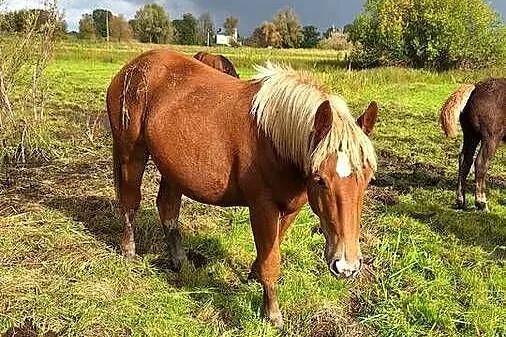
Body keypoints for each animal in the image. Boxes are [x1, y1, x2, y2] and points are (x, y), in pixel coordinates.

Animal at [107, 49, 380, 326]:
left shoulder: (291, 209)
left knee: (168, 209)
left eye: (368, 179)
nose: (346, 267)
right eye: (320, 179)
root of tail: (132, 67)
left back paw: (180, 262)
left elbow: (272, 248)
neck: (273, 137)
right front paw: (272, 314)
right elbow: (272, 261)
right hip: (131, 153)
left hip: (172, 168)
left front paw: (253, 276)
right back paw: (129, 252)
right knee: (130, 202)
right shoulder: (262, 208)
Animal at [440, 78, 504, 210]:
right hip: (490, 138)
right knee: (480, 163)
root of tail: (475, 88)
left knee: (464, 161)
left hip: (471, 136)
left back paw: (460, 200)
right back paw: (481, 202)